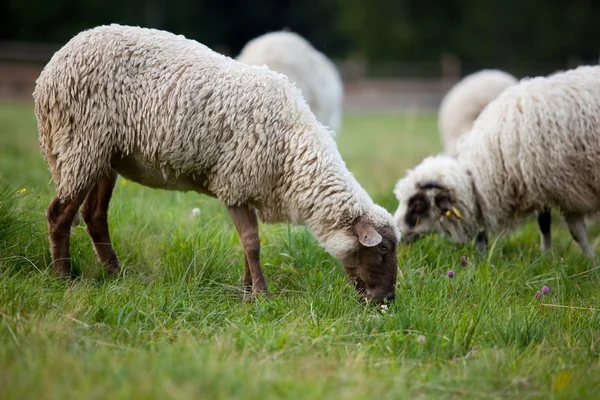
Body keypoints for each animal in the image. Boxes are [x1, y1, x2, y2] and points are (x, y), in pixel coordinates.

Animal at [32, 24, 398, 304]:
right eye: (382, 251)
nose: (387, 301)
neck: (293, 154)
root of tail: (54, 64)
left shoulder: (245, 188)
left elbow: (247, 246)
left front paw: (247, 290)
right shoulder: (235, 182)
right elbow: (252, 243)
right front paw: (261, 295)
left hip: (105, 156)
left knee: (94, 216)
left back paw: (115, 274)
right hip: (80, 146)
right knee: (59, 214)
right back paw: (63, 277)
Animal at [392, 63, 600, 256]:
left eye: (417, 205)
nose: (397, 231)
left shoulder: (565, 188)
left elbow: (574, 231)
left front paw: (585, 260)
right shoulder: (546, 187)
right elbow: (548, 223)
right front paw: (551, 257)